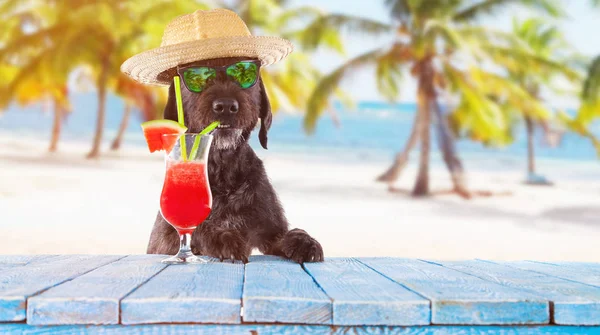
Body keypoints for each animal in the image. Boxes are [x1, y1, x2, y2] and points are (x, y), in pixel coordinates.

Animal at [146, 56, 324, 264]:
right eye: (197, 76)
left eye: (244, 73)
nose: (225, 106)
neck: (224, 174)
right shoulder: (166, 238)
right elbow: (198, 228)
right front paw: (223, 238)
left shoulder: (270, 231)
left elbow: (283, 236)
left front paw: (304, 240)